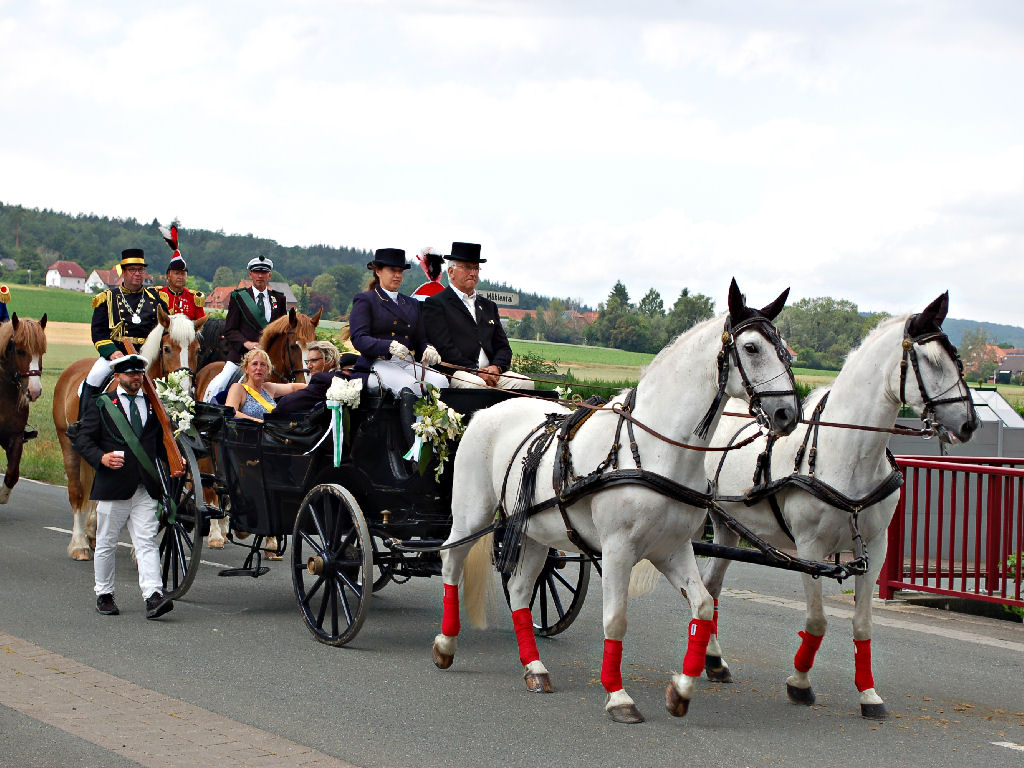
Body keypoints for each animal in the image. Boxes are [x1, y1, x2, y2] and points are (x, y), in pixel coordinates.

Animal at [0, 313, 48, 504]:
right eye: (20, 351)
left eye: (42, 352)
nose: (34, 391)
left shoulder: (15, 437)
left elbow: (12, 474)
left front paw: (3, 497)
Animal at [52, 309, 205, 561]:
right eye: (167, 348)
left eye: (197, 350)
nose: (184, 393)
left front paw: (142, 548)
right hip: (68, 445)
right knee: (77, 491)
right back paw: (79, 544)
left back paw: (93, 533)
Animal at [197, 306, 321, 549]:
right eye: (294, 345)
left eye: (315, 344)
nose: (308, 381)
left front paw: (271, 540)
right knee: (211, 487)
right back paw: (216, 533)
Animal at [433, 279, 801, 724]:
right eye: (751, 348)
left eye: (784, 349)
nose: (787, 414)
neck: (656, 450)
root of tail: (488, 411)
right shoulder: (618, 550)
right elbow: (616, 619)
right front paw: (618, 696)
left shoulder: (672, 548)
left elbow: (702, 607)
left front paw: (681, 690)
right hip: (471, 516)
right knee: (450, 561)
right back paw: (446, 645)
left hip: (536, 532)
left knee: (520, 591)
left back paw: (535, 669)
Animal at [700, 292, 978, 719]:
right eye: (931, 360)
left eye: (957, 357)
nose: (968, 423)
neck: (847, 454)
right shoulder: (810, 550)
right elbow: (816, 621)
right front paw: (799, 684)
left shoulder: (875, 548)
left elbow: (862, 625)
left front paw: (869, 694)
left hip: (728, 527)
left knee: (712, 588)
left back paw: (714, 662)